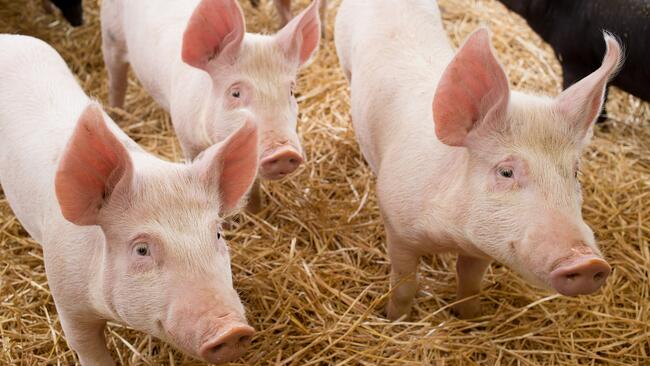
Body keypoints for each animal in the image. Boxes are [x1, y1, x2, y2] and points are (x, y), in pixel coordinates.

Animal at [0, 33, 258, 364]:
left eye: (217, 234)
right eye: (142, 250)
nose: (233, 330)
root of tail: (9, 38)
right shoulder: (67, 299)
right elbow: (86, 347)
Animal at [101, 0, 322, 212]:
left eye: (291, 91)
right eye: (235, 93)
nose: (284, 152)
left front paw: (257, 212)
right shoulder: (187, 139)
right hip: (111, 35)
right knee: (117, 81)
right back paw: (115, 115)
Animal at [334, 0, 616, 320]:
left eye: (574, 172)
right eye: (506, 172)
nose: (588, 262)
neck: (450, 235)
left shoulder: (482, 247)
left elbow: (470, 282)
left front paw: (472, 318)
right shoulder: (397, 228)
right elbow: (404, 285)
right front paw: (395, 319)